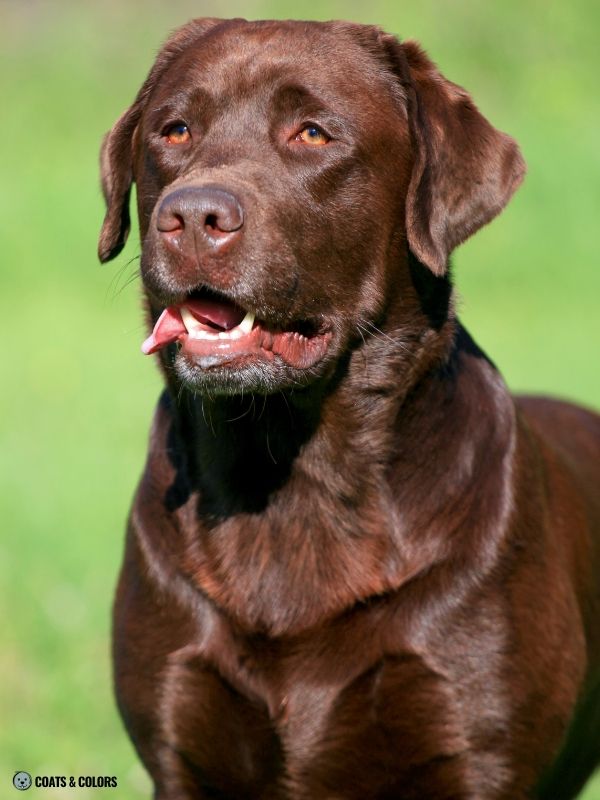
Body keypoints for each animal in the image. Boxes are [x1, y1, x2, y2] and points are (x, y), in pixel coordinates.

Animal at [98, 18, 600, 800]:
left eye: (312, 133)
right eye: (174, 130)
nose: (191, 215)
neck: (291, 476)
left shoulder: (477, 753)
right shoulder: (177, 754)